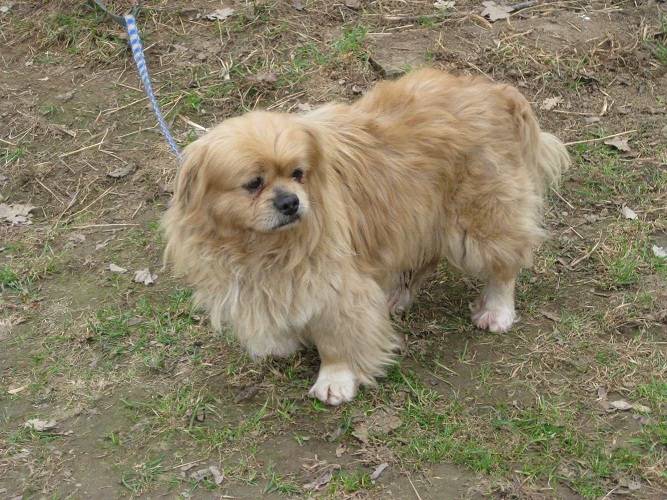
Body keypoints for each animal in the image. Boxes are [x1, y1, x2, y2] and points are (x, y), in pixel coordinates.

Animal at [162, 68, 570, 405]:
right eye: (253, 183)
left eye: (298, 174)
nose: (291, 202)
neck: (261, 246)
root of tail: (495, 93)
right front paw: (282, 342)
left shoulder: (335, 287)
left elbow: (336, 340)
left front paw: (335, 380)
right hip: (416, 216)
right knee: (422, 260)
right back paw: (396, 297)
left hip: (479, 223)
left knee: (503, 267)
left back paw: (497, 310)